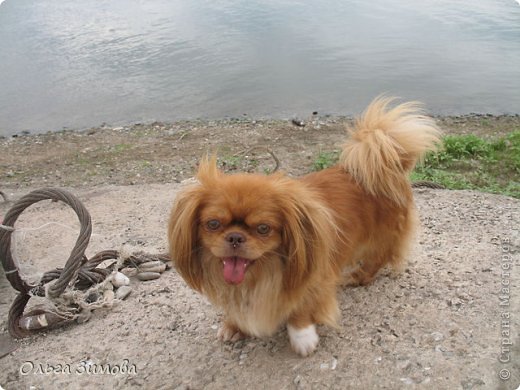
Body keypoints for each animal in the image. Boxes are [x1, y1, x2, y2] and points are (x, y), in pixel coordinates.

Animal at [169, 97, 440, 356]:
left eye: (263, 228)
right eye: (213, 224)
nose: (235, 237)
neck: (260, 275)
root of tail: (389, 164)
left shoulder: (314, 276)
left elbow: (302, 307)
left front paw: (302, 337)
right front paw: (234, 325)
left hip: (380, 237)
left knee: (378, 259)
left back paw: (357, 276)